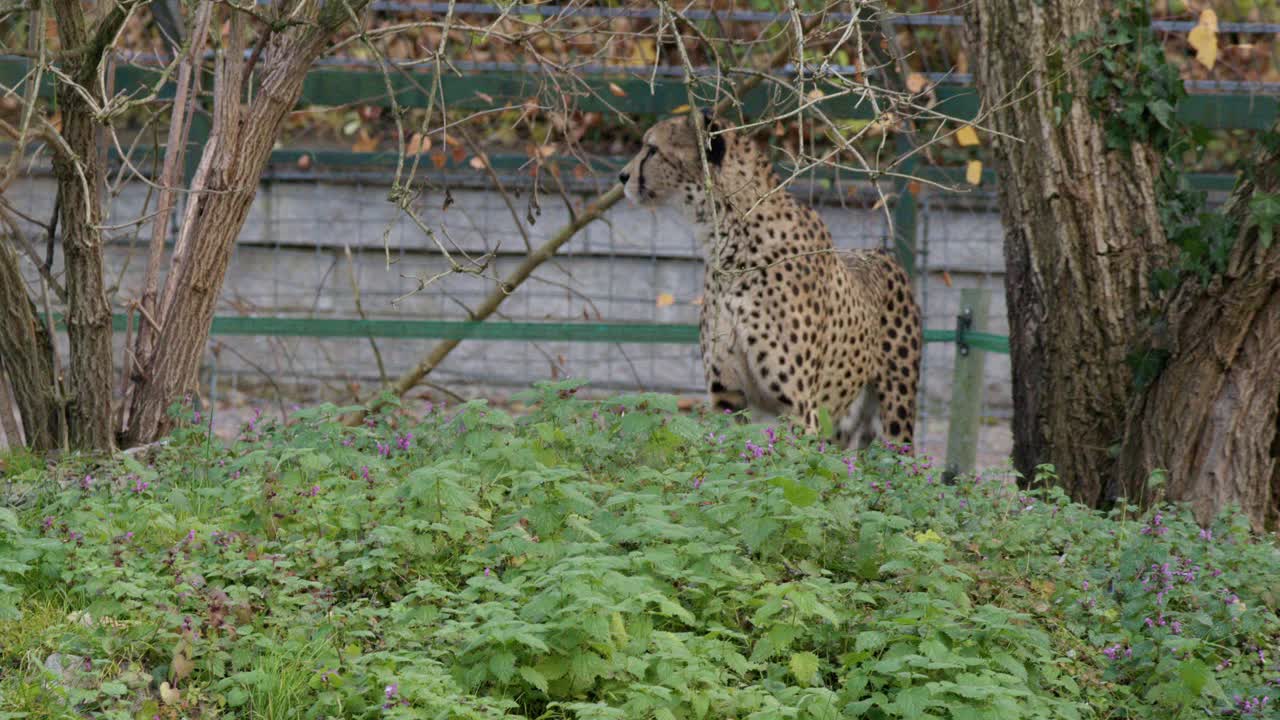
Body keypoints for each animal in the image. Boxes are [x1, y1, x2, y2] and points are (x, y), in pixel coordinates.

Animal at [616, 110, 921, 448]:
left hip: (894, 419)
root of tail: (882, 254)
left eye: (652, 149)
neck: (730, 240)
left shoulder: (799, 410)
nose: (622, 176)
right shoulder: (729, 399)